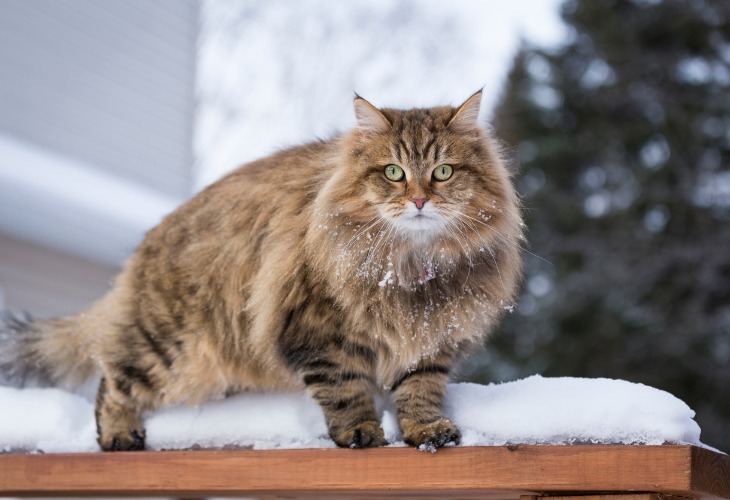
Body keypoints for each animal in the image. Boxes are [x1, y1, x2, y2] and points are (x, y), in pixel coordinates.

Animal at [1, 91, 524, 454]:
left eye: (443, 172)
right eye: (393, 172)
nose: (418, 200)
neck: (411, 268)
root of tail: (150, 241)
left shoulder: (432, 339)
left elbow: (419, 391)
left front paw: (426, 431)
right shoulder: (317, 332)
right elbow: (345, 390)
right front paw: (359, 432)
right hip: (169, 348)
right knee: (112, 378)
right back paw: (119, 435)